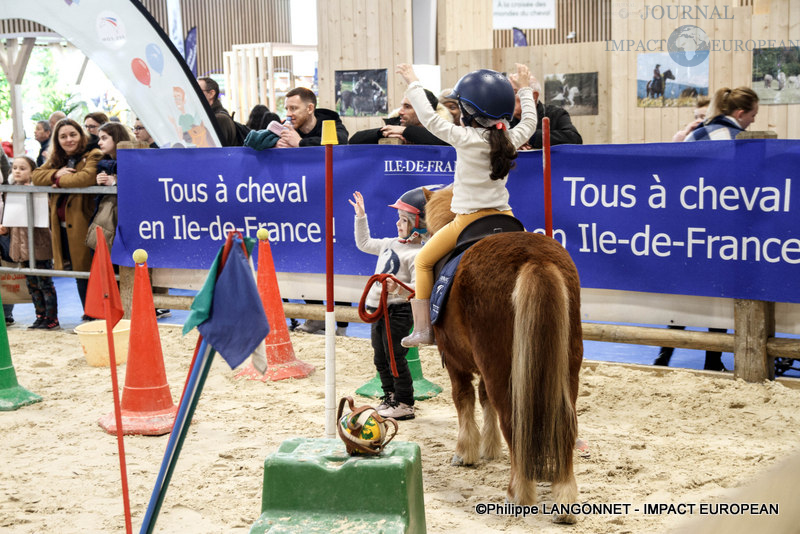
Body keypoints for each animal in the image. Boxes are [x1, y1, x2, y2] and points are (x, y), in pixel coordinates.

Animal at [424, 187, 580, 524]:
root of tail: (536, 259)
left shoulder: (454, 360)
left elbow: (464, 398)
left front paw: (466, 452)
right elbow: (484, 399)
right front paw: (490, 447)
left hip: (499, 366)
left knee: (513, 419)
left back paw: (517, 493)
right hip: (567, 366)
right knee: (565, 424)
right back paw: (565, 499)